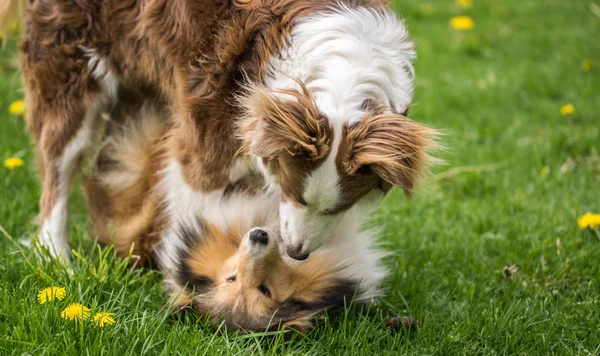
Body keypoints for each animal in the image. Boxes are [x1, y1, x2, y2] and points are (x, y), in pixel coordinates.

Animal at [4, 0, 438, 266]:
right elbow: (198, 201)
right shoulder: (206, 137)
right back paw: (57, 261)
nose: (297, 253)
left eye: (340, 208)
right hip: (70, 64)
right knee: (58, 172)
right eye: (294, 194)